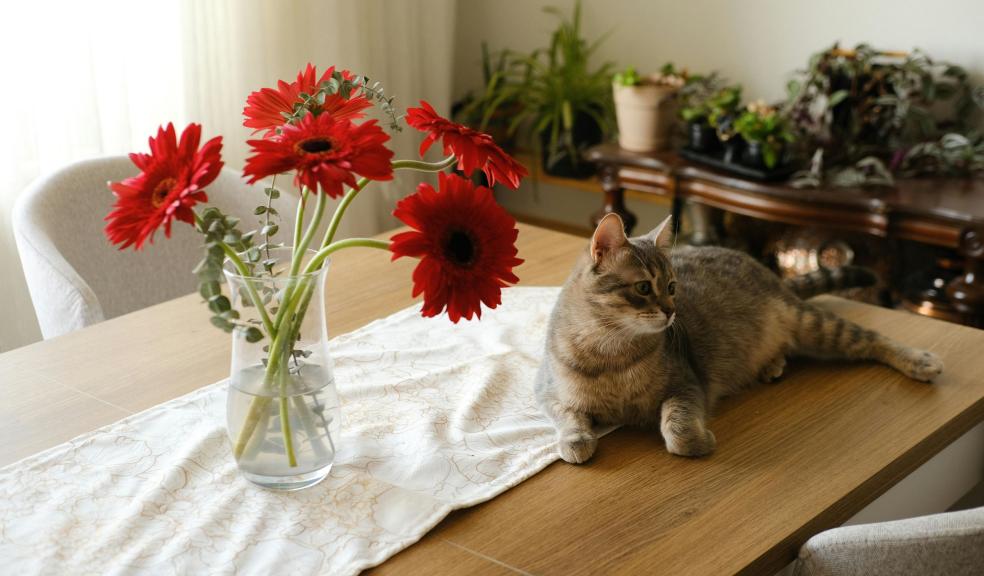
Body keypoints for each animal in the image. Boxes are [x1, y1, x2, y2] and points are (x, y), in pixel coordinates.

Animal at [540, 213, 944, 464]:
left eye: (672, 286)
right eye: (643, 287)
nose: (671, 311)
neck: (613, 350)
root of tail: (771, 273)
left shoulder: (687, 385)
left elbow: (678, 430)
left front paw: (699, 441)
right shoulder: (546, 392)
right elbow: (568, 416)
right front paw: (575, 441)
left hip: (816, 325)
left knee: (875, 338)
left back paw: (919, 361)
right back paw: (772, 365)